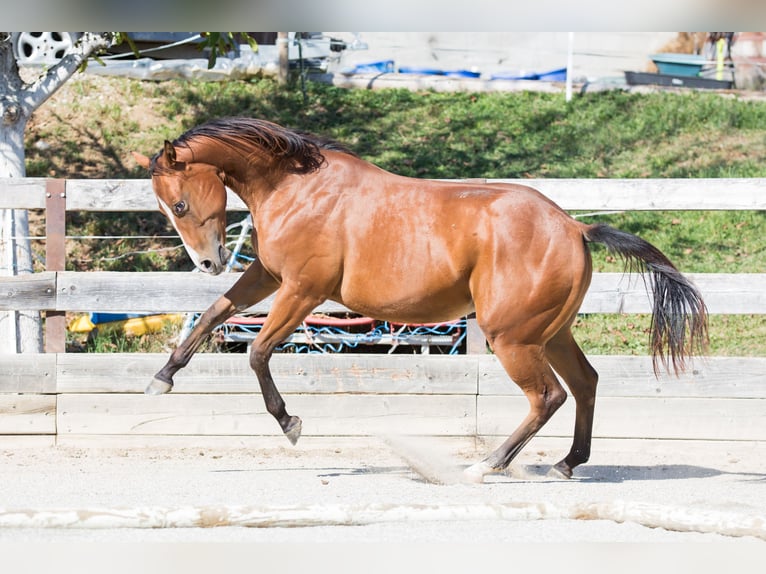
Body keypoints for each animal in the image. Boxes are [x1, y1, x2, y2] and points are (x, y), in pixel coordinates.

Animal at [132, 117, 708, 483]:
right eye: (165, 208)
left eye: (179, 204)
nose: (208, 263)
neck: (294, 188)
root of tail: (574, 227)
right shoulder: (269, 276)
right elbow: (212, 315)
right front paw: (160, 381)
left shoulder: (302, 289)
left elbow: (256, 352)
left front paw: (291, 425)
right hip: (550, 333)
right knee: (585, 383)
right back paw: (566, 463)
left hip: (512, 338)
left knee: (548, 397)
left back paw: (484, 466)